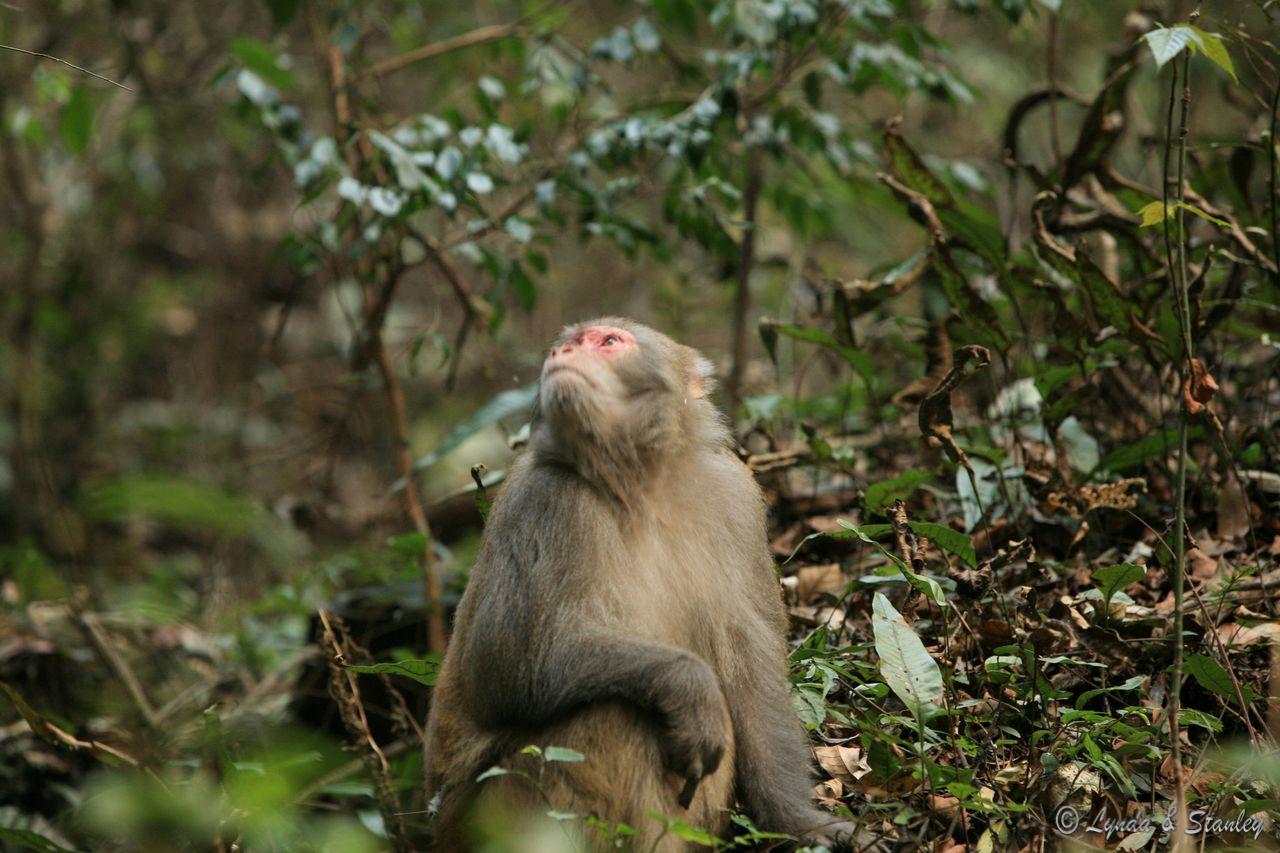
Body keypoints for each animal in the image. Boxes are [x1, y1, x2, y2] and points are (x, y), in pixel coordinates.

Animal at [422, 318, 860, 850]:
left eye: (608, 342)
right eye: (564, 346)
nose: (562, 355)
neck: (638, 484)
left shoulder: (734, 496)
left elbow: (751, 668)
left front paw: (797, 820)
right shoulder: (545, 501)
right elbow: (504, 667)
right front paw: (690, 686)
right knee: (614, 711)